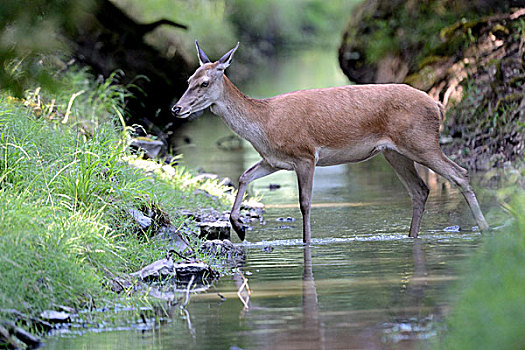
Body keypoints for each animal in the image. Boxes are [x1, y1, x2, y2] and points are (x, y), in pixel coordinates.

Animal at [171, 41, 488, 243]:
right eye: (187, 79)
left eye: (204, 83)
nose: (176, 108)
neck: (265, 124)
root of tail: (438, 105)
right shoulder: (275, 160)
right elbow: (244, 175)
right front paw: (238, 227)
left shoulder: (305, 155)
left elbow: (305, 203)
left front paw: (307, 242)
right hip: (394, 152)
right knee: (420, 190)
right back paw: (412, 235)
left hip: (422, 141)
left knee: (460, 173)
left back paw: (485, 228)